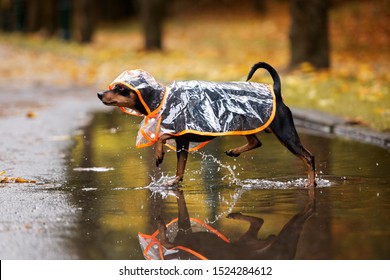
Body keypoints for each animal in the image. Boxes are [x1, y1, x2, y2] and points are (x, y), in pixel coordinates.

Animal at [97, 62, 316, 187]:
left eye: (120, 88)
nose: (99, 94)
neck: (162, 99)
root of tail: (276, 92)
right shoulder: (183, 142)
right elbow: (180, 167)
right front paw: (175, 181)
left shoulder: (180, 132)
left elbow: (162, 137)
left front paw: (159, 155)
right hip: (244, 123)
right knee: (256, 142)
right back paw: (234, 151)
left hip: (285, 133)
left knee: (309, 157)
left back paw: (312, 183)